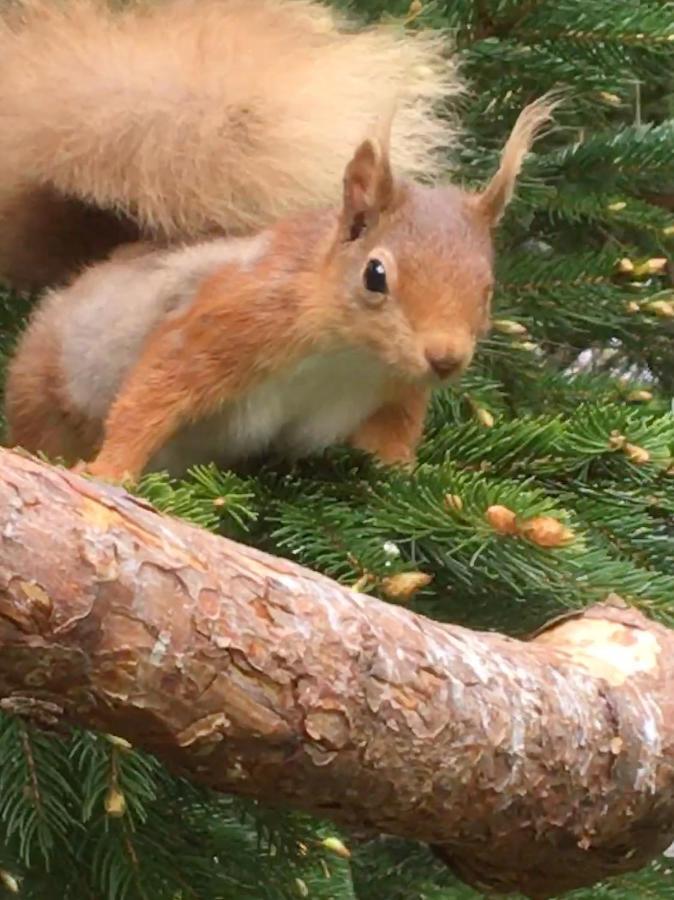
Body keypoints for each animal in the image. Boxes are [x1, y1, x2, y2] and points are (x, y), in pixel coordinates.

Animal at [3, 95, 552, 482]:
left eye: (487, 290)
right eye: (375, 275)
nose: (446, 359)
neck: (351, 354)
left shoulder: (394, 388)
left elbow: (391, 438)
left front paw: (404, 475)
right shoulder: (239, 316)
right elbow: (155, 392)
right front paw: (110, 471)